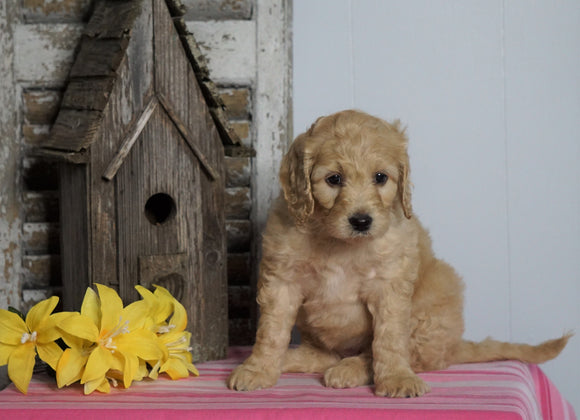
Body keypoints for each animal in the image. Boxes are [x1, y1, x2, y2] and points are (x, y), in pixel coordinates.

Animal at [228, 108, 572, 398]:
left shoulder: (390, 284)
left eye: (381, 177)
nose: (361, 221)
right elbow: (271, 331)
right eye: (333, 179)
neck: (338, 241)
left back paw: (351, 369)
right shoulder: (282, 281)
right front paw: (258, 369)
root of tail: (453, 346)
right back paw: (297, 358)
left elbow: (389, 339)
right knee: (325, 353)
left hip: (428, 313)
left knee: (396, 354)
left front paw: (396, 379)